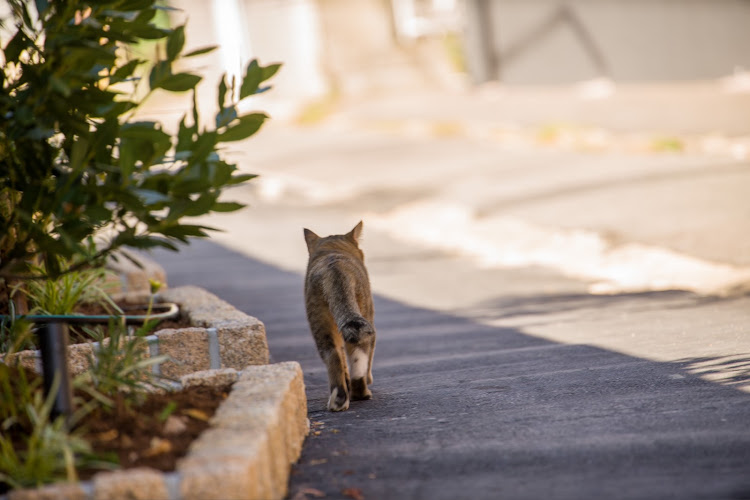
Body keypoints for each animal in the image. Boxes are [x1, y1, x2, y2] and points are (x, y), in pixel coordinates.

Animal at [304, 222, 376, 410]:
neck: (332, 249)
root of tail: (334, 268)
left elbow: (343, 359)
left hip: (319, 322)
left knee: (333, 355)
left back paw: (339, 399)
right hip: (364, 316)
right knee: (360, 352)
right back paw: (360, 393)